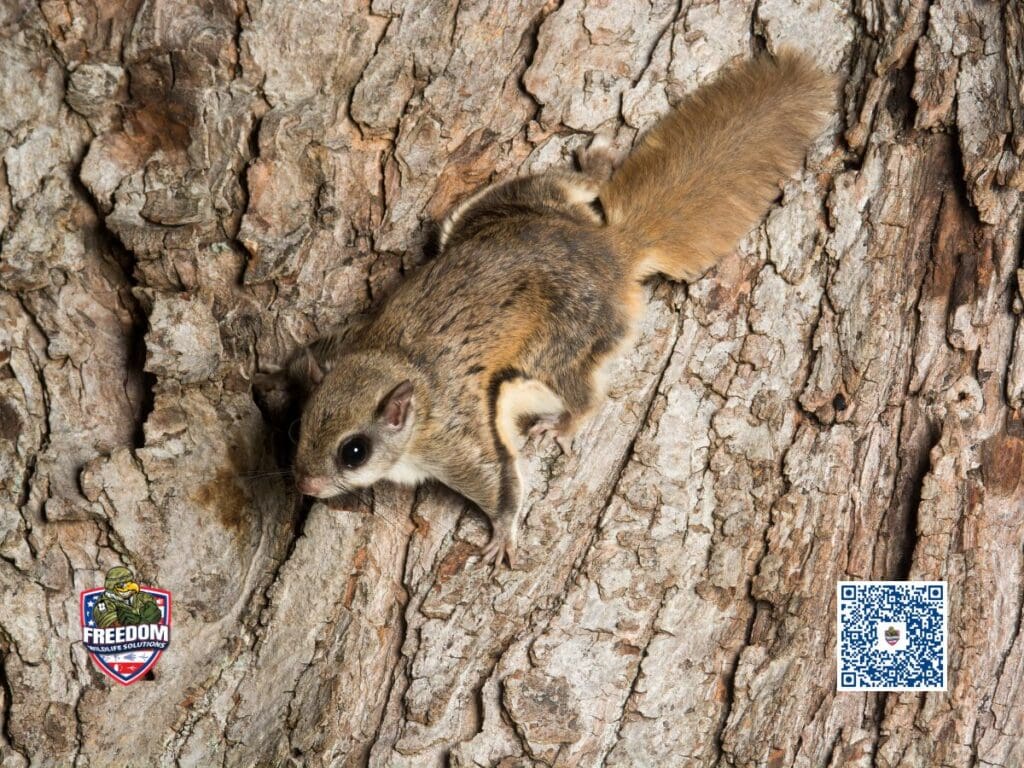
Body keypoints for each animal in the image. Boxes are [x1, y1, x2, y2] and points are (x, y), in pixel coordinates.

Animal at [290, 49, 833, 567]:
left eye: (353, 452)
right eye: (300, 424)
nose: (305, 486)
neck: (395, 366)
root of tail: (612, 251)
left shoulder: (456, 437)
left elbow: (498, 482)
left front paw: (501, 536)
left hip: (562, 345)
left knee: (586, 394)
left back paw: (565, 422)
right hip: (504, 205)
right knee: (566, 186)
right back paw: (595, 165)